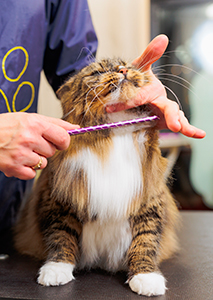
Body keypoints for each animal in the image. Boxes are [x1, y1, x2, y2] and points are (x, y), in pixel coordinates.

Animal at [13, 57, 180, 296]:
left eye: (127, 65)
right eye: (98, 72)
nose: (123, 70)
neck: (116, 133)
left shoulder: (149, 200)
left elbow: (145, 241)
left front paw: (146, 278)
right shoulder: (59, 200)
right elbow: (61, 237)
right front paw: (56, 270)